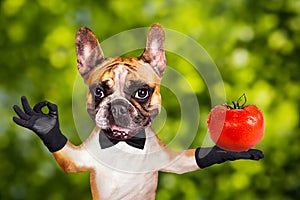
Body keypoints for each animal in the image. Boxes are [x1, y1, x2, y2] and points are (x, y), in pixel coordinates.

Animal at [12, 23, 264, 200]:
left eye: (142, 92)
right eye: (99, 92)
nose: (118, 105)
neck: (124, 144)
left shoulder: (164, 158)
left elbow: (187, 161)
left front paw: (224, 152)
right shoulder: (84, 158)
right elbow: (70, 157)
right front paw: (43, 124)